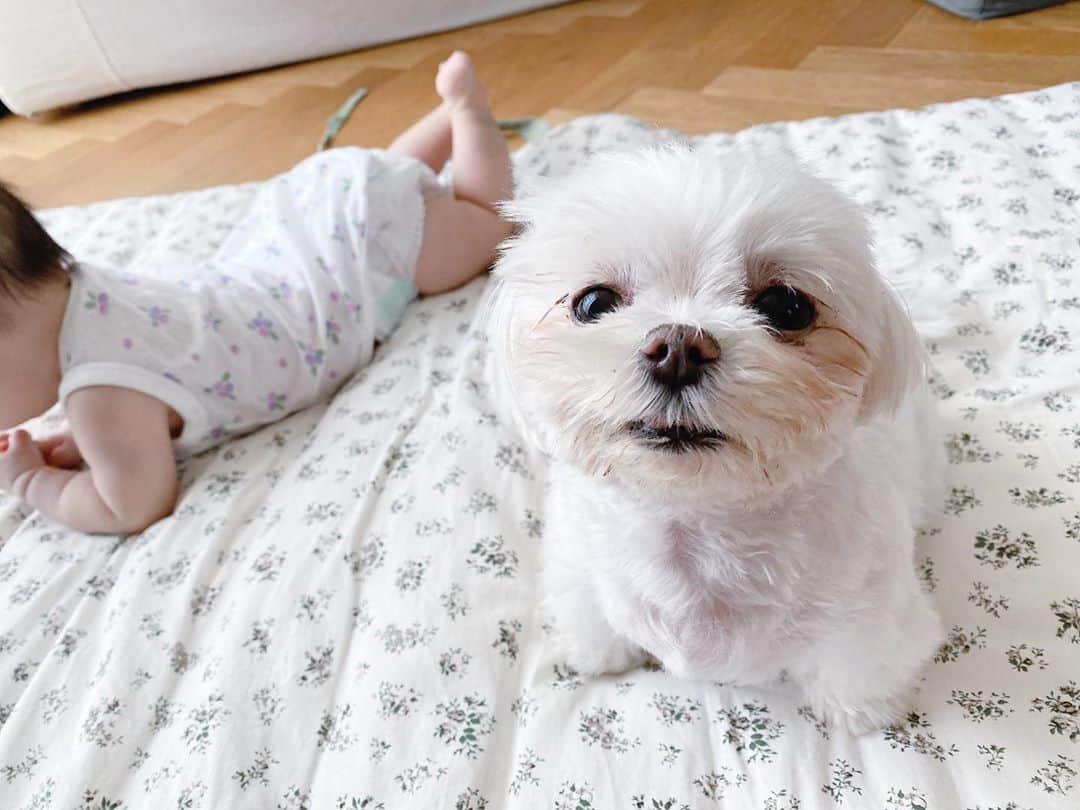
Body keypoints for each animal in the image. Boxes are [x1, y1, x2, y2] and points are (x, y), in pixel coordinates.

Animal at [490, 145, 946, 734]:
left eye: (787, 307)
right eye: (593, 303)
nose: (677, 348)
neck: (698, 525)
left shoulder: (869, 613)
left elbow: (858, 664)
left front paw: (859, 710)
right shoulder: (575, 564)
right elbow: (589, 611)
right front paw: (598, 652)